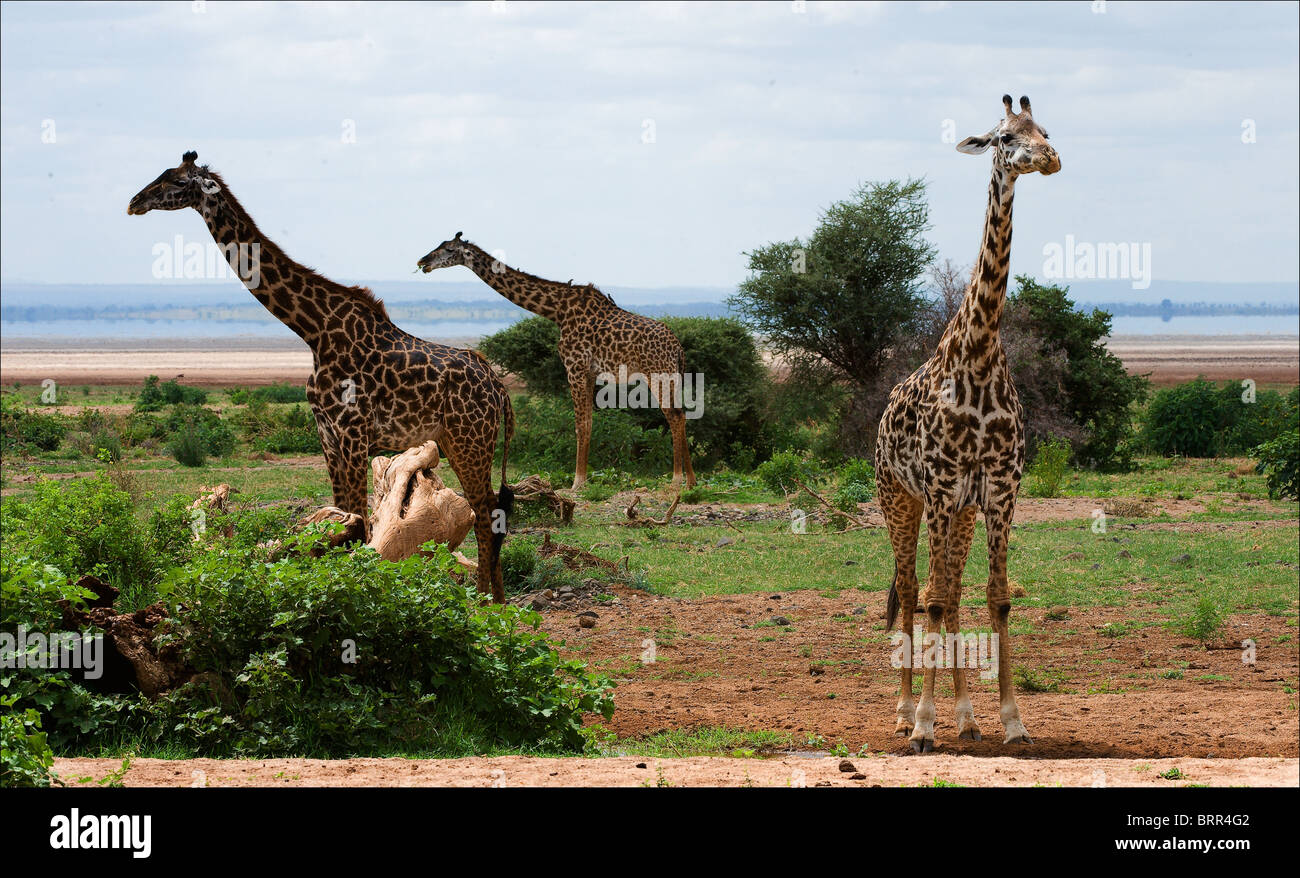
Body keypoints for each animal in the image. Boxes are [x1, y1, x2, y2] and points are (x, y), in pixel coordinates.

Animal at [129, 152, 514, 603]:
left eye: (175, 181)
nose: (134, 202)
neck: (314, 331)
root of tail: (498, 386)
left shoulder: (353, 435)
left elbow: (359, 526)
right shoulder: (328, 435)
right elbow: (343, 521)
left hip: (473, 441)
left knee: (487, 516)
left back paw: (488, 603)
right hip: (459, 442)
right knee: (489, 513)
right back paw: (495, 600)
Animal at [421, 234, 696, 491]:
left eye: (448, 249)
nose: (423, 262)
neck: (557, 310)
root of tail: (678, 348)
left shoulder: (574, 366)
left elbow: (580, 424)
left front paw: (577, 482)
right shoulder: (588, 372)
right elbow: (588, 423)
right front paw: (582, 479)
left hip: (657, 374)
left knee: (674, 416)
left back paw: (678, 478)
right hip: (673, 376)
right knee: (682, 414)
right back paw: (690, 480)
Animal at [873, 98, 1066, 754]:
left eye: (1045, 130)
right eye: (1005, 137)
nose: (1050, 159)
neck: (980, 351)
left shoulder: (1000, 489)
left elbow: (996, 598)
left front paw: (1010, 720)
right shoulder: (937, 486)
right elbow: (930, 599)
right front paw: (922, 725)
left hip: (958, 510)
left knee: (951, 591)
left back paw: (964, 716)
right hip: (899, 498)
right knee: (912, 590)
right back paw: (905, 711)